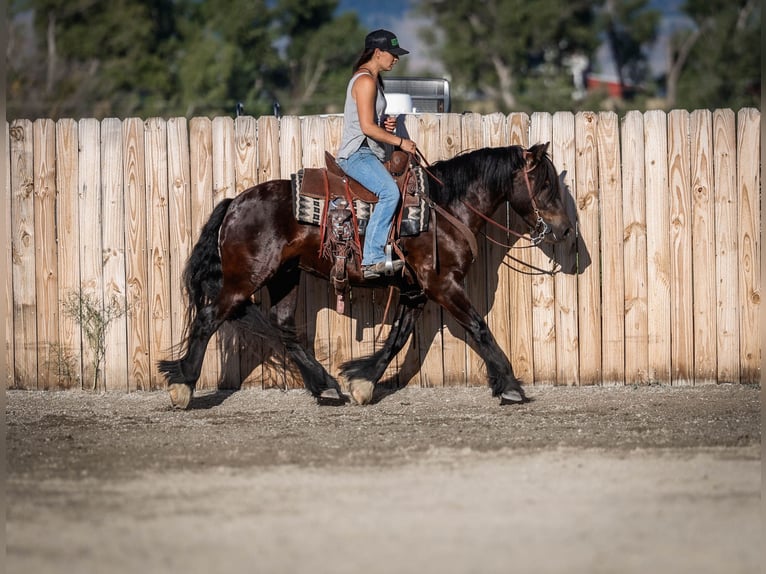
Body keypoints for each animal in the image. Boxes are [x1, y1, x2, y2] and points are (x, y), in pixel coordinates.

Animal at [158, 142, 575, 408]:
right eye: (545, 184)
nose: (565, 229)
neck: (442, 209)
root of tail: (234, 203)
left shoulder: (416, 289)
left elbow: (398, 337)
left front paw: (362, 380)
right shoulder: (442, 284)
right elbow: (478, 327)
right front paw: (510, 386)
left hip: (284, 276)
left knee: (281, 326)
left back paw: (325, 386)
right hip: (245, 278)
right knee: (210, 318)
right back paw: (183, 385)